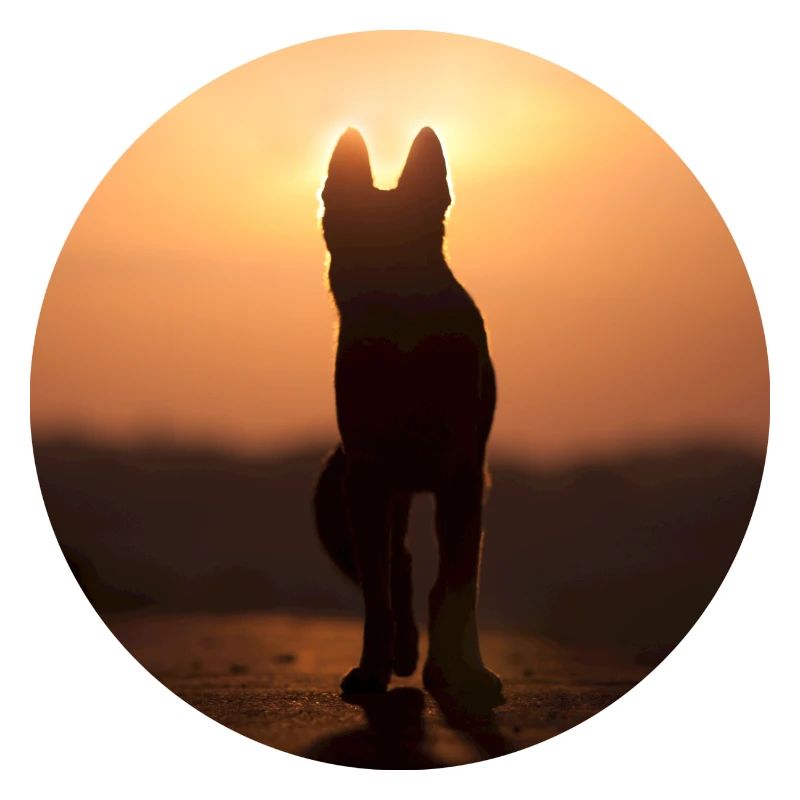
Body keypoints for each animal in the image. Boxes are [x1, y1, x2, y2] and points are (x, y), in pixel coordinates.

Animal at [314, 127, 501, 702]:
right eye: (355, 247)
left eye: (407, 251)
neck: (405, 345)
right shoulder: (367, 482)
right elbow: (379, 592)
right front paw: (372, 669)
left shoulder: (462, 477)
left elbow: (461, 582)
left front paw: (466, 673)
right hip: (362, 499)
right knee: (400, 569)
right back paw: (403, 652)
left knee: (437, 576)